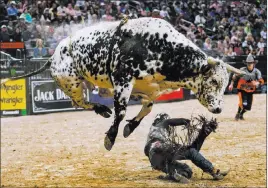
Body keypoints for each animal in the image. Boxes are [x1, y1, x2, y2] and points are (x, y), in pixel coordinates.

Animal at [1, 17, 245, 150]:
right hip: (70, 82)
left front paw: (130, 127)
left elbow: (147, 108)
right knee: (79, 102)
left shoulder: (147, 88)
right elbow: (120, 112)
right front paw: (110, 137)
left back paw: (101, 109)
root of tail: (53, 55)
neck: (160, 48)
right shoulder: (122, 80)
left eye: (226, 83)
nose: (218, 108)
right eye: (213, 80)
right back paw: (101, 109)